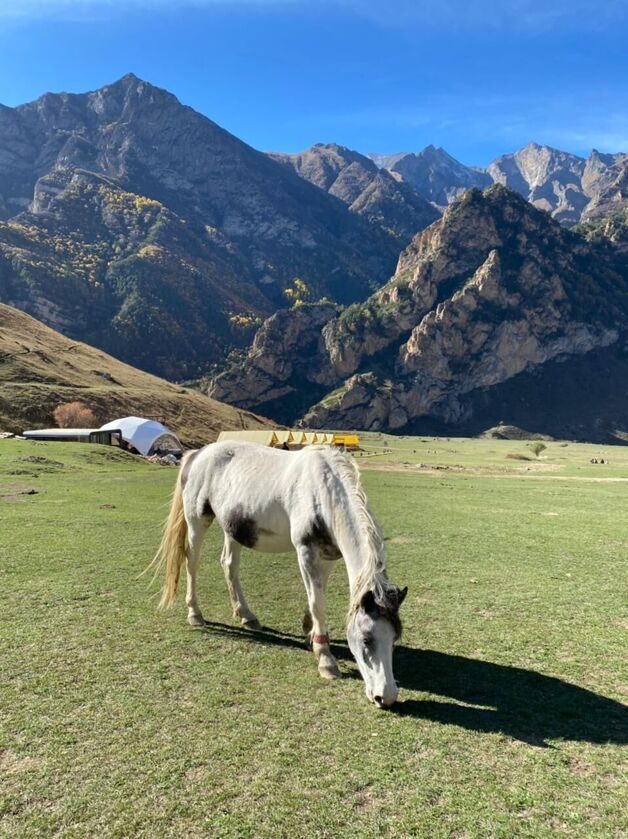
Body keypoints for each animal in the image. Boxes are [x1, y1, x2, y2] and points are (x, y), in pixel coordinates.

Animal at [150, 440, 410, 708]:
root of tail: (198, 453)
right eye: (367, 638)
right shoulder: (305, 551)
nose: (386, 697)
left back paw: (246, 615)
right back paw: (195, 613)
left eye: (394, 638)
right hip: (197, 521)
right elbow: (317, 603)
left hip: (233, 528)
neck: (325, 491)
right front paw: (325, 658)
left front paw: (310, 633)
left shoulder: (328, 555)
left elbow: (317, 596)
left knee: (229, 564)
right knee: (192, 563)